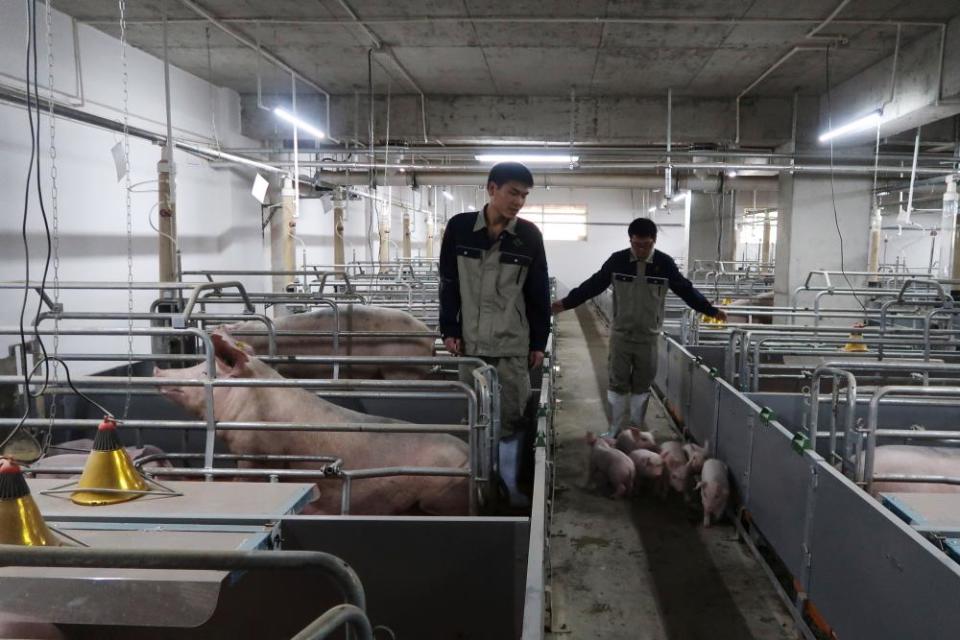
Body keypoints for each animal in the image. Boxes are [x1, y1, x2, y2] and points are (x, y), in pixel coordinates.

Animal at [152, 330, 470, 516]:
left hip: (440, 496)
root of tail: (469, 456)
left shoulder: (255, 453)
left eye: (204, 370)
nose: (156, 369)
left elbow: (245, 479)